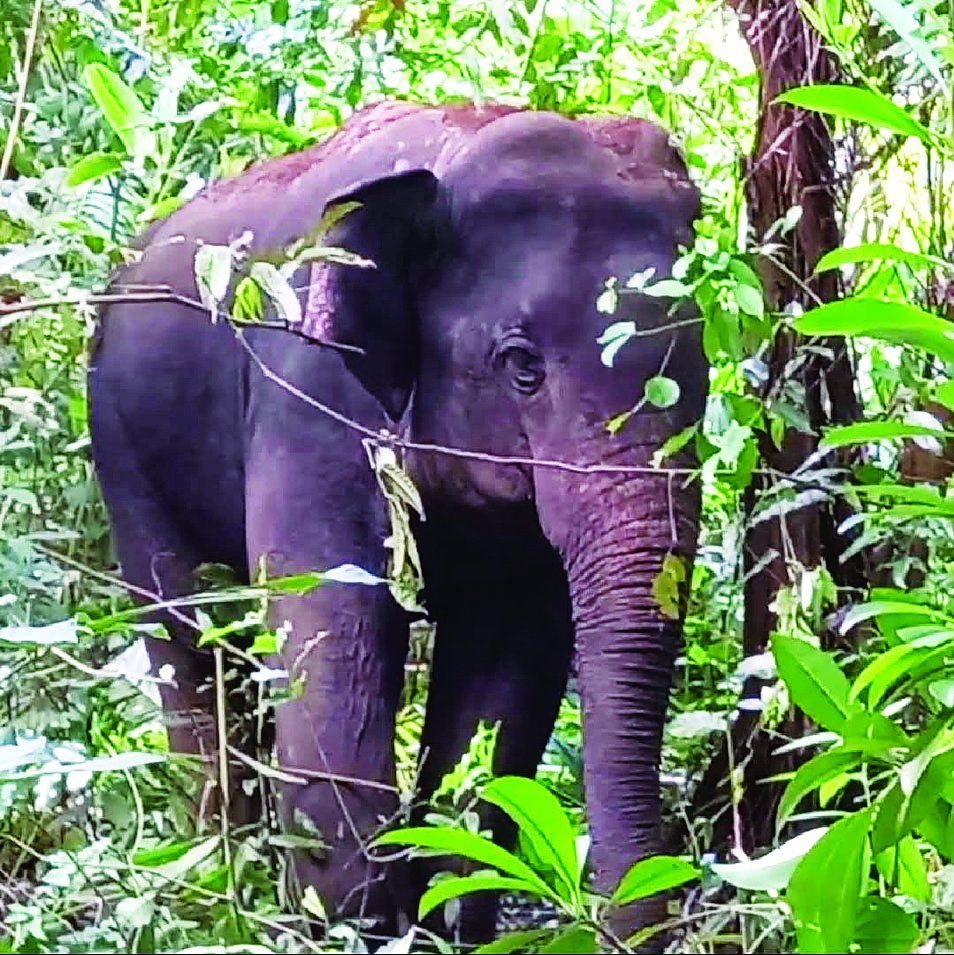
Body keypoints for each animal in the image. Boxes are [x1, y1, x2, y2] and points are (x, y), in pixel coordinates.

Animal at [88, 100, 707, 939]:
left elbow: (504, 674)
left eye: (699, 360)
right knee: (187, 639)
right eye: (522, 364)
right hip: (123, 452)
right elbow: (330, 650)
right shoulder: (309, 399)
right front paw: (358, 926)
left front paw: (445, 915)